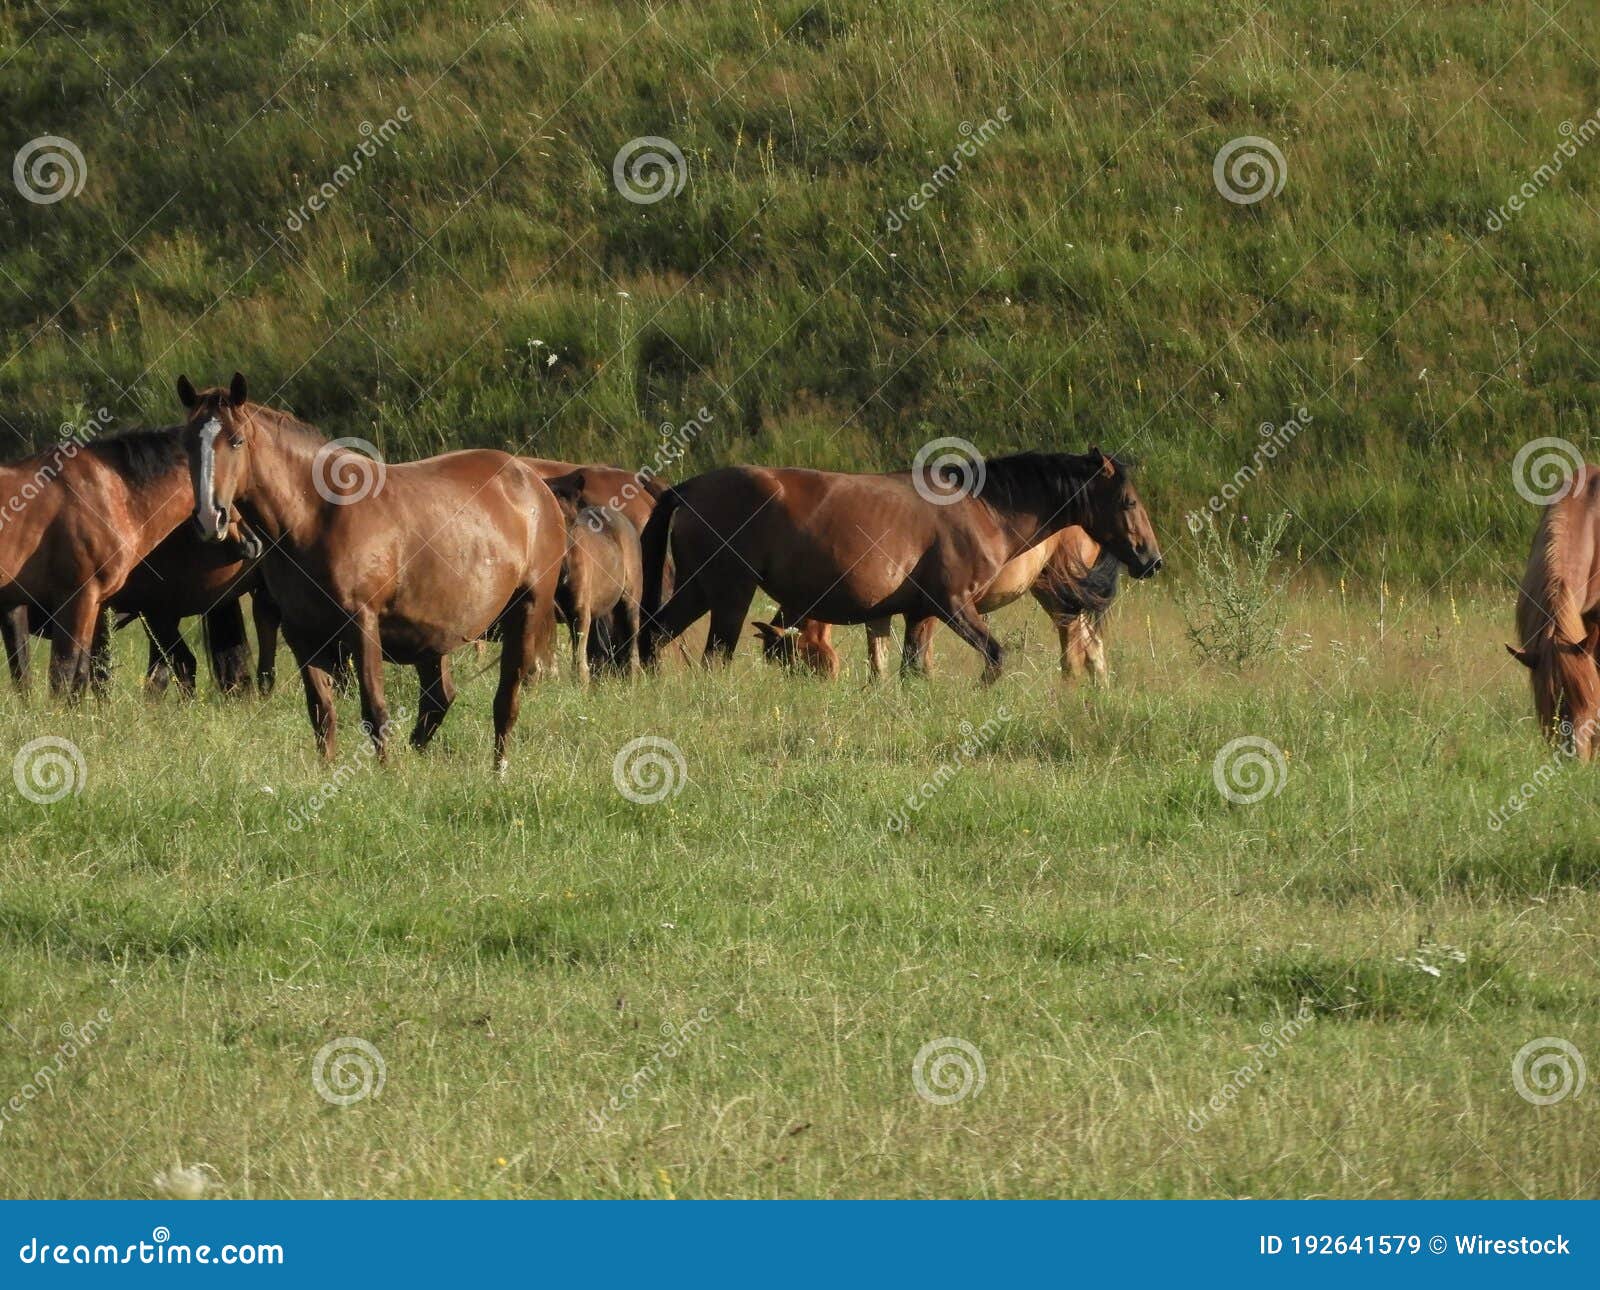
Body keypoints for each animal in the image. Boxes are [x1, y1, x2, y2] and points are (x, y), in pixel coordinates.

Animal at [178, 379, 566, 771]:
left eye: (237, 440)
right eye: (187, 443)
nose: (210, 518)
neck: (315, 516)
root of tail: (534, 483)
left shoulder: (362, 624)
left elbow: (375, 710)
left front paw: (386, 772)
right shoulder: (301, 632)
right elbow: (321, 711)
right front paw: (327, 768)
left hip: (526, 611)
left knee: (506, 701)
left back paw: (498, 770)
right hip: (434, 632)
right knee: (439, 698)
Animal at [640, 448, 1164, 681]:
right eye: (1128, 501)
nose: (1151, 560)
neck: (982, 509)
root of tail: (687, 487)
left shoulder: (918, 614)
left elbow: (913, 671)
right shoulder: (951, 607)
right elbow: (994, 657)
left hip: (698, 590)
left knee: (655, 636)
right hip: (728, 594)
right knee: (713, 655)